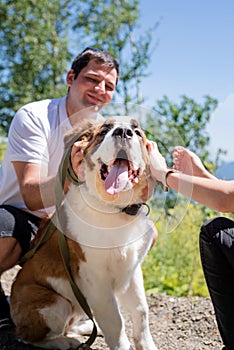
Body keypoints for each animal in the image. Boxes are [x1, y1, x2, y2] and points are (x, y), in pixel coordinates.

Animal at [10, 116, 158, 348]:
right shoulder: (97, 280)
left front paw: (147, 345)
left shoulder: (132, 270)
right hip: (55, 302)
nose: (123, 132)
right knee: (28, 337)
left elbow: (141, 311)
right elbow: (115, 320)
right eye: (104, 131)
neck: (115, 209)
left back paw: (87, 328)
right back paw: (63, 342)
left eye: (137, 132)